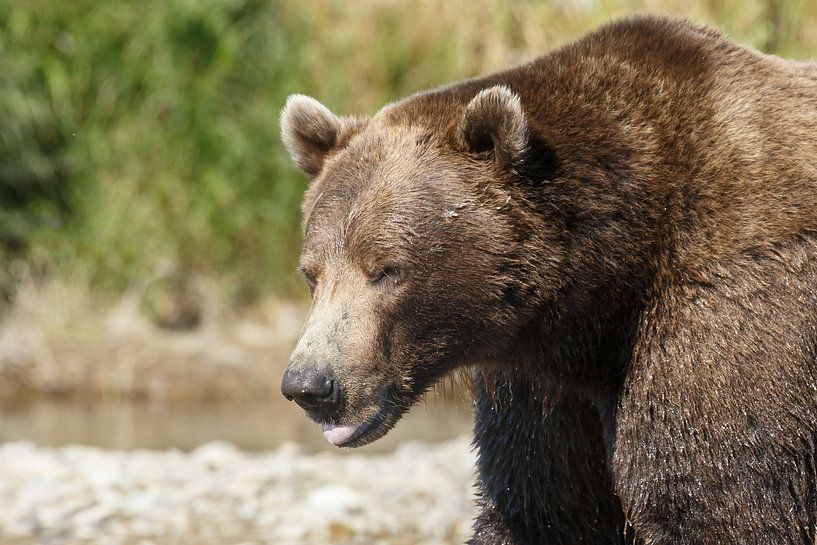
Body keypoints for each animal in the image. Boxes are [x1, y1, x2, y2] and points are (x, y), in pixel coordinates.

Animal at [278, 14, 816, 540]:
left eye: (387, 269)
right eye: (312, 274)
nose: (311, 384)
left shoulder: (726, 332)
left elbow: (718, 502)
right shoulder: (540, 386)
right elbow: (543, 506)